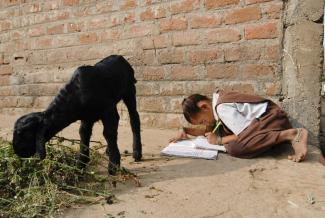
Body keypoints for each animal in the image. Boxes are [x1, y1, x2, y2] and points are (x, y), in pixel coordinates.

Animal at [12, 55, 141, 175]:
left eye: (23, 134)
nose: (17, 152)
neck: (75, 95)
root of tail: (120, 57)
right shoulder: (87, 117)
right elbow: (83, 134)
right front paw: (80, 165)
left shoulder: (107, 110)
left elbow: (108, 133)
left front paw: (113, 166)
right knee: (118, 119)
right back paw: (108, 151)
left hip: (129, 90)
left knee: (134, 118)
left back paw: (137, 153)